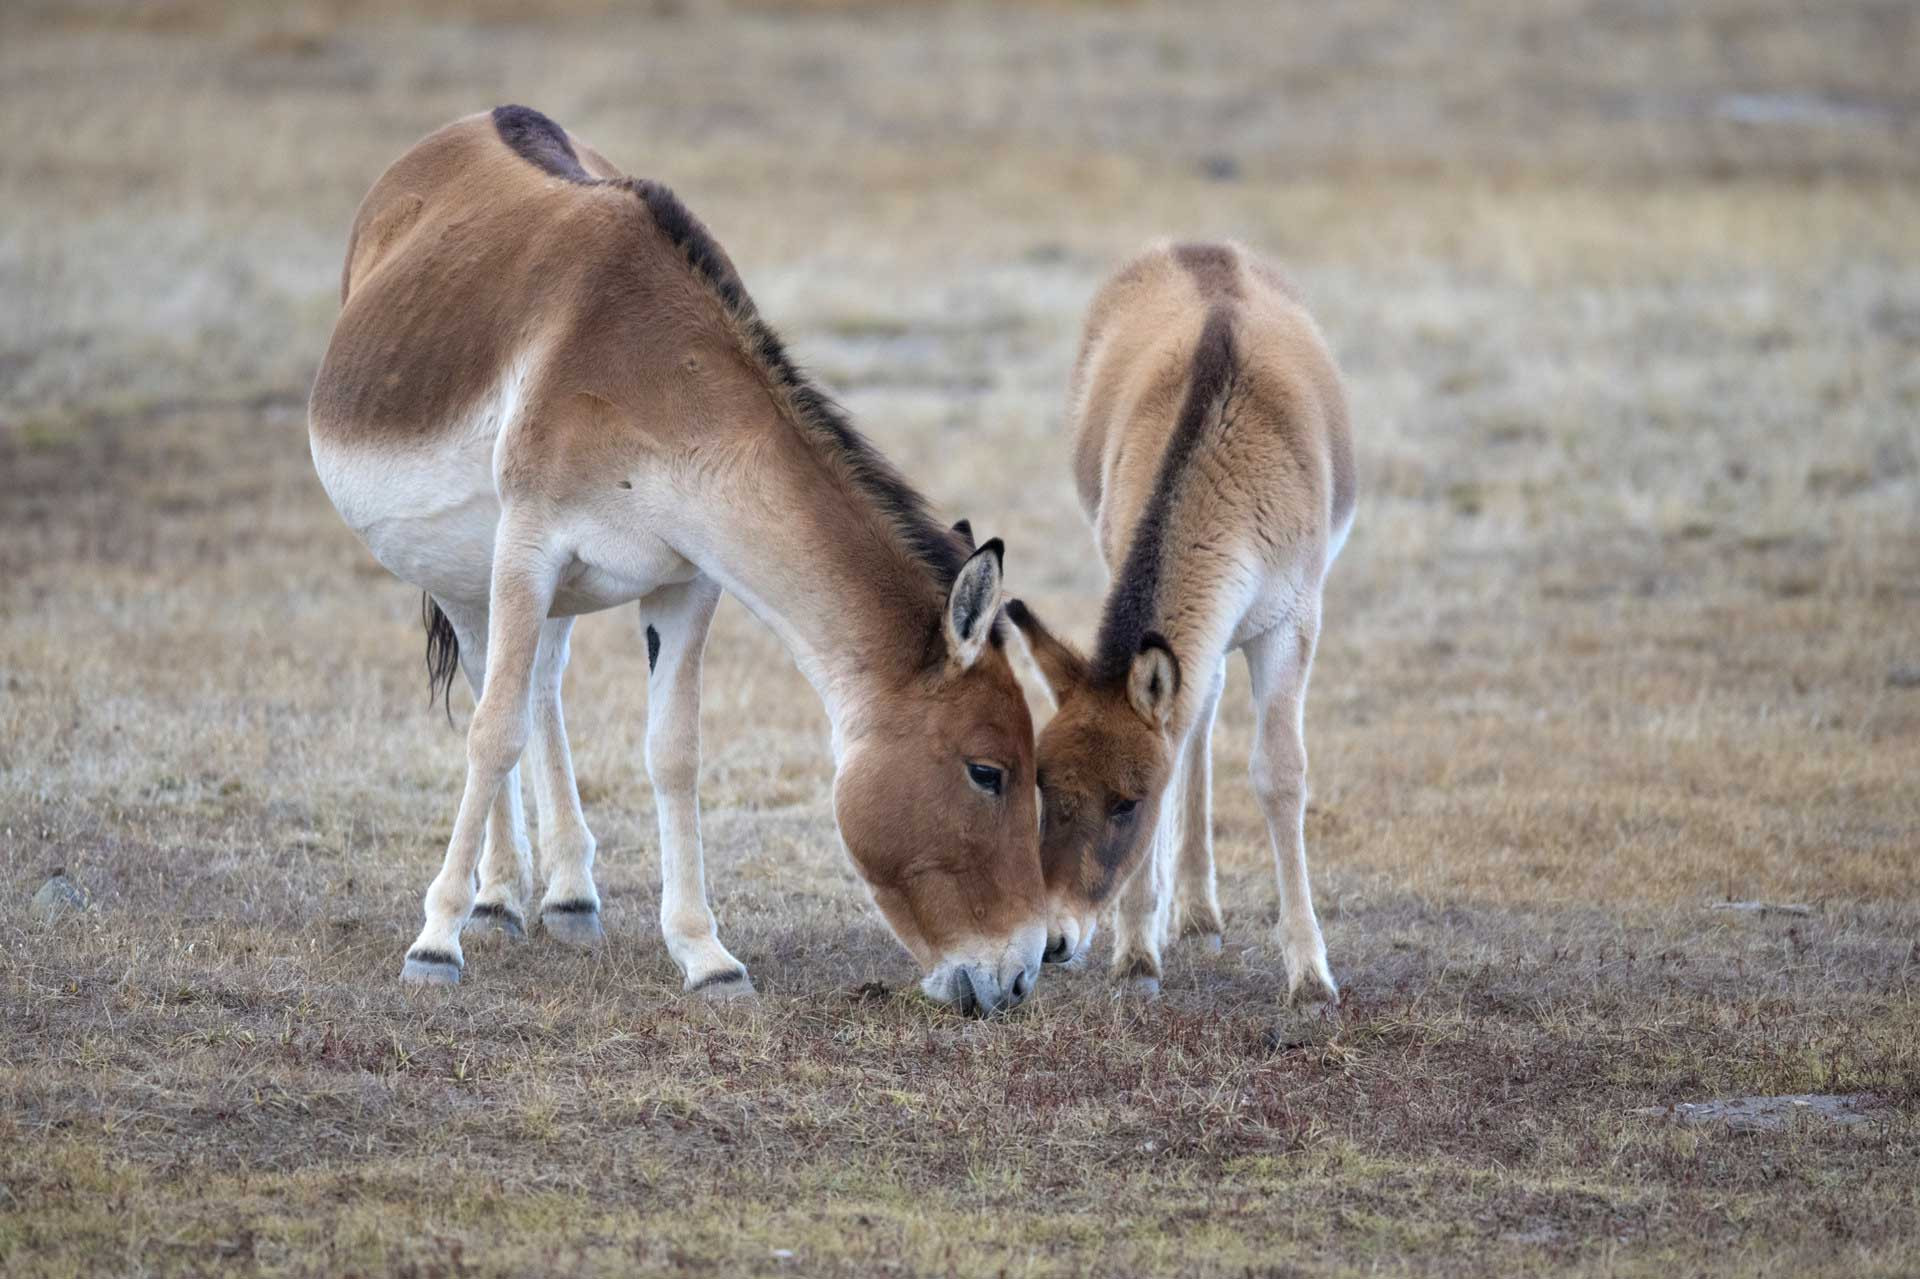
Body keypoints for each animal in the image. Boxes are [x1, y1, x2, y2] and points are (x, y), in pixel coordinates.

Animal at [309, 107, 1044, 1013]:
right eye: (987, 771)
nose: (1020, 975)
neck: (651, 374)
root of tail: (475, 120)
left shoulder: (685, 582)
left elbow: (674, 753)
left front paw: (706, 955)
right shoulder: (527, 548)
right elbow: (492, 733)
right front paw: (435, 942)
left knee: (541, 687)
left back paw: (564, 896)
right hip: (463, 572)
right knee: (496, 692)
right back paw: (494, 897)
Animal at [1006, 236, 1351, 998]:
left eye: (1127, 802)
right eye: (1042, 782)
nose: (1052, 941)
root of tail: (1199, 247)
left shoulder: (1292, 623)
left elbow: (1280, 775)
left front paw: (1310, 972)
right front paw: (1138, 950)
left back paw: (1197, 911)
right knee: (1197, 713)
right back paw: (1179, 912)